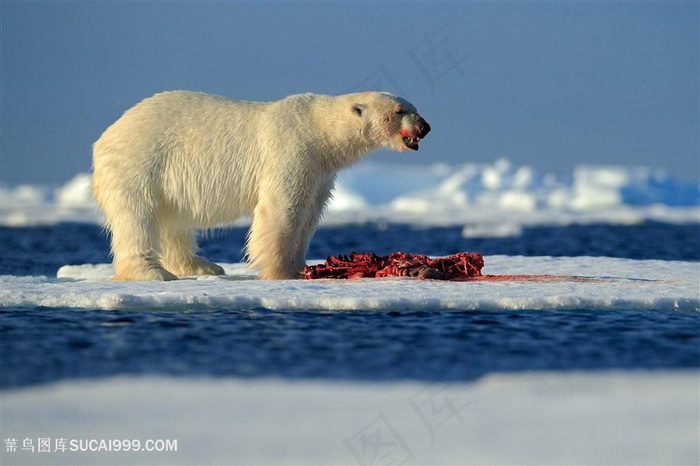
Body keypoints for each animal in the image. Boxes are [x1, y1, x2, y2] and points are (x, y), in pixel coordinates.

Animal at [91, 91, 432, 280]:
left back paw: (203, 266)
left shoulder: (320, 172)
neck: (319, 130)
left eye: (414, 106)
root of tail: (106, 135)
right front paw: (281, 271)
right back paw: (153, 272)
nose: (425, 126)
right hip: (140, 162)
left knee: (172, 222)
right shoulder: (292, 150)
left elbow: (309, 214)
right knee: (137, 217)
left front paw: (301, 266)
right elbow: (282, 209)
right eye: (400, 111)